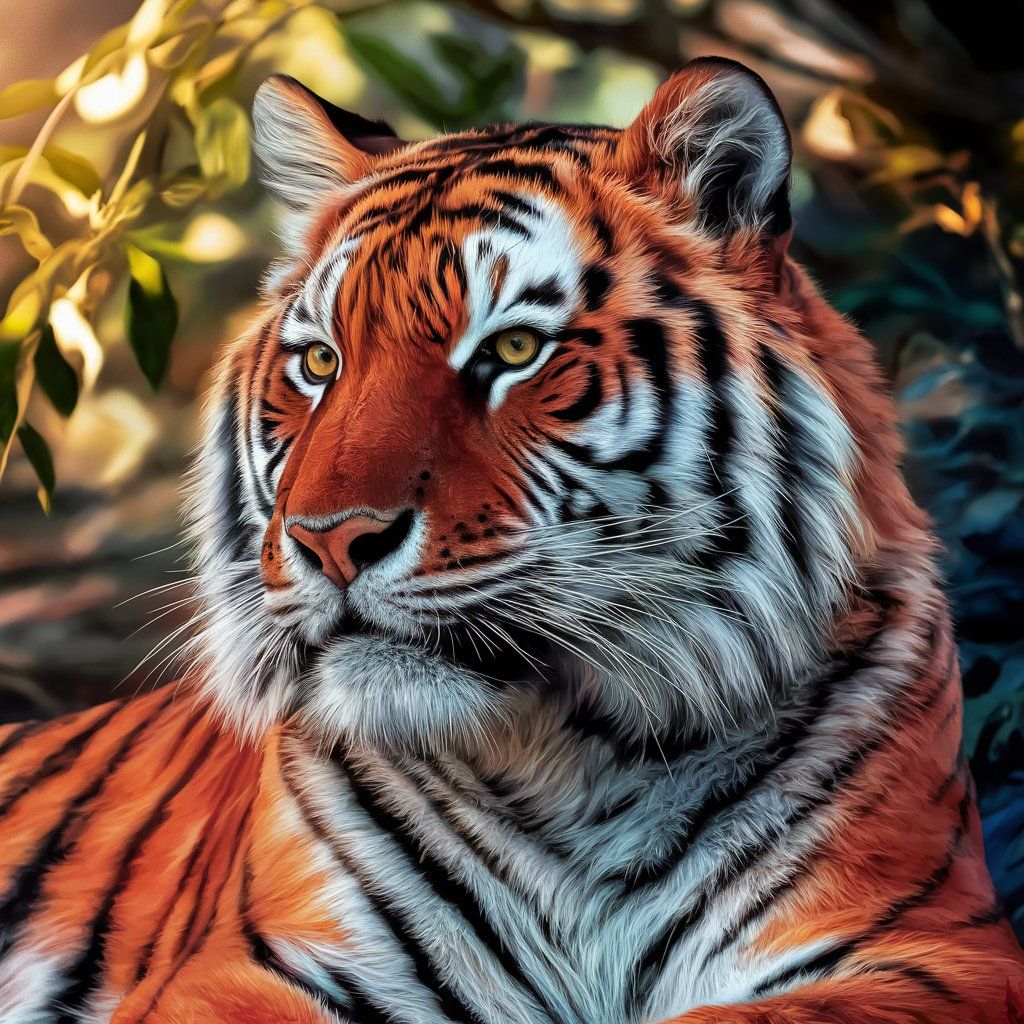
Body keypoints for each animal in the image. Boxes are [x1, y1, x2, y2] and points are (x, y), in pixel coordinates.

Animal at [1, 55, 1021, 1024]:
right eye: (322, 362)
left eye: (515, 352)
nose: (332, 542)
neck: (577, 768)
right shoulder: (251, 968)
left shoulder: (937, 953)